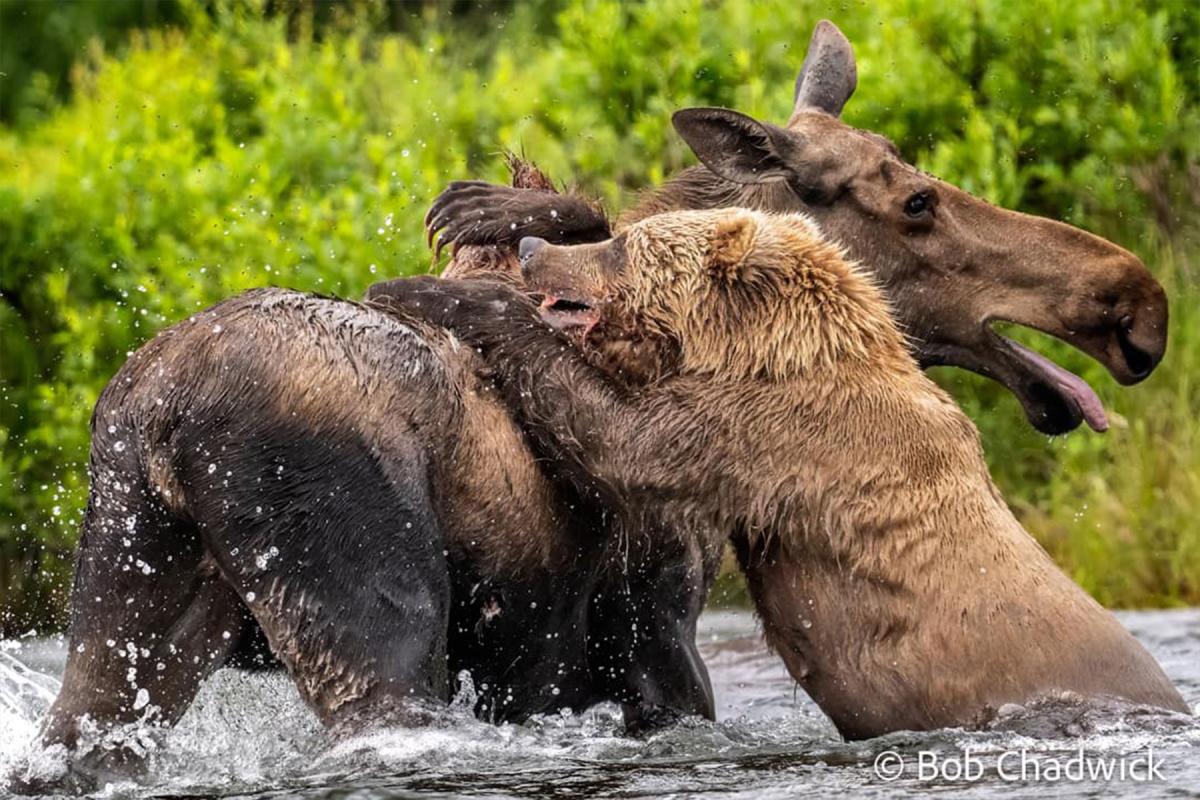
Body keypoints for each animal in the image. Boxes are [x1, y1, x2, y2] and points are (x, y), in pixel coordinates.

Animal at [374, 206, 1190, 738]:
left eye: (624, 246)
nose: (535, 246)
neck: (763, 348)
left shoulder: (768, 430)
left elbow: (620, 440)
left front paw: (434, 290)